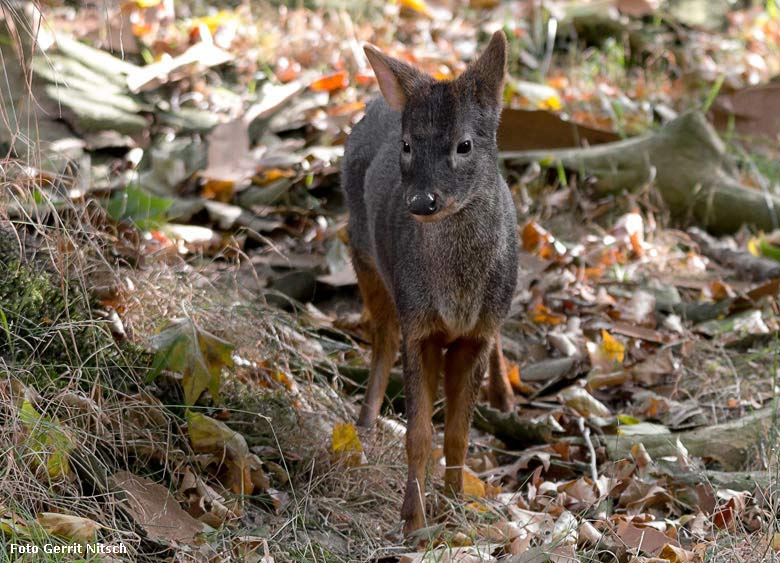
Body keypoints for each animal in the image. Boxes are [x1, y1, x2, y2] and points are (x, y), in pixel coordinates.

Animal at [342, 32, 516, 536]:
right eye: (406, 144)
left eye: (464, 145)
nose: (421, 200)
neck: (458, 295)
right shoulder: (419, 321)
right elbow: (420, 433)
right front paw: (414, 519)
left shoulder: (475, 333)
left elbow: (458, 434)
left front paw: (455, 509)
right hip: (363, 252)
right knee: (382, 337)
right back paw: (364, 423)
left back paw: (504, 393)